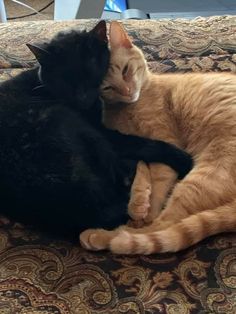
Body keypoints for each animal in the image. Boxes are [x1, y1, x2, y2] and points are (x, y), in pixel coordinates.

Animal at [0, 21, 193, 238]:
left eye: (89, 72)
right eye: (63, 80)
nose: (82, 98)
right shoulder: (104, 132)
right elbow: (143, 143)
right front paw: (184, 159)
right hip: (68, 123)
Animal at [79, 20, 236, 254]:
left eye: (125, 70)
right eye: (107, 87)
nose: (127, 91)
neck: (129, 107)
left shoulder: (165, 142)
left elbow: (158, 185)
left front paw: (144, 209)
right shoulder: (134, 146)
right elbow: (141, 172)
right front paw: (138, 202)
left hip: (204, 178)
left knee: (163, 225)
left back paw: (102, 235)